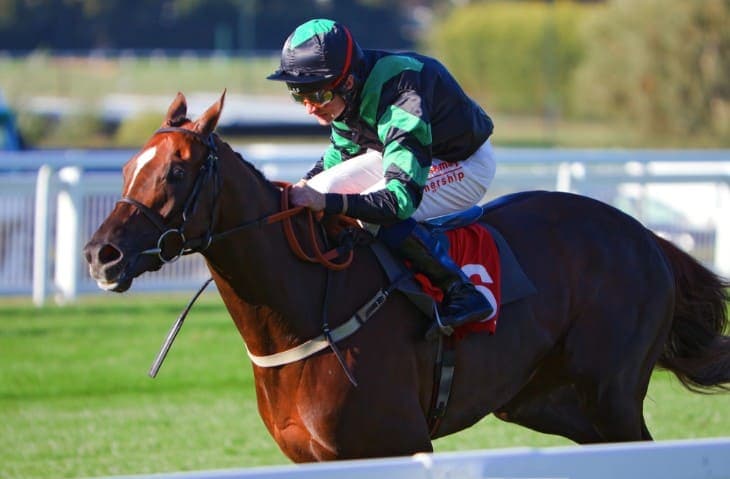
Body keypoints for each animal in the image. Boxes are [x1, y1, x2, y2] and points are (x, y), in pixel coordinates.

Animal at [84, 91, 730, 462]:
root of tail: (645, 236)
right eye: (127, 166)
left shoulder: (398, 443)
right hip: (547, 401)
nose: (100, 255)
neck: (304, 310)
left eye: (175, 172)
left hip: (610, 398)